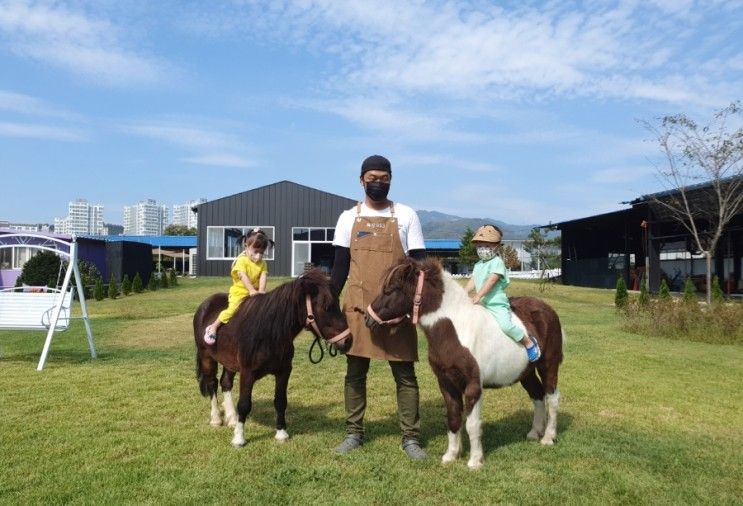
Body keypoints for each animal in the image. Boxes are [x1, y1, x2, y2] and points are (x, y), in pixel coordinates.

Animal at [195, 268, 352, 446]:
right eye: (327, 307)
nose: (348, 341)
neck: (267, 334)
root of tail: (205, 305)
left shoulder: (284, 371)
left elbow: (280, 401)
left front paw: (281, 433)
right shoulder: (247, 373)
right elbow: (244, 404)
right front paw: (239, 438)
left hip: (229, 362)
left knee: (226, 383)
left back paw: (232, 419)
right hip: (207, 357)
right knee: (212, 384)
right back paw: (216, 419)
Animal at [370, 258, 568, 468]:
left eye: (391, 290)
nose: (367, 317)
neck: (455, 329)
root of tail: (548, 310)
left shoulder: (473, 386)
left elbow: (472, 424)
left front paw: (474, 461)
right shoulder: (446, 383)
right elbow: (453, 418)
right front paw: (451, 455)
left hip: (548, 365)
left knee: (552, 397)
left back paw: (548, 437)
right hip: (526, 372)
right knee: (537, 395)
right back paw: (534, 433)